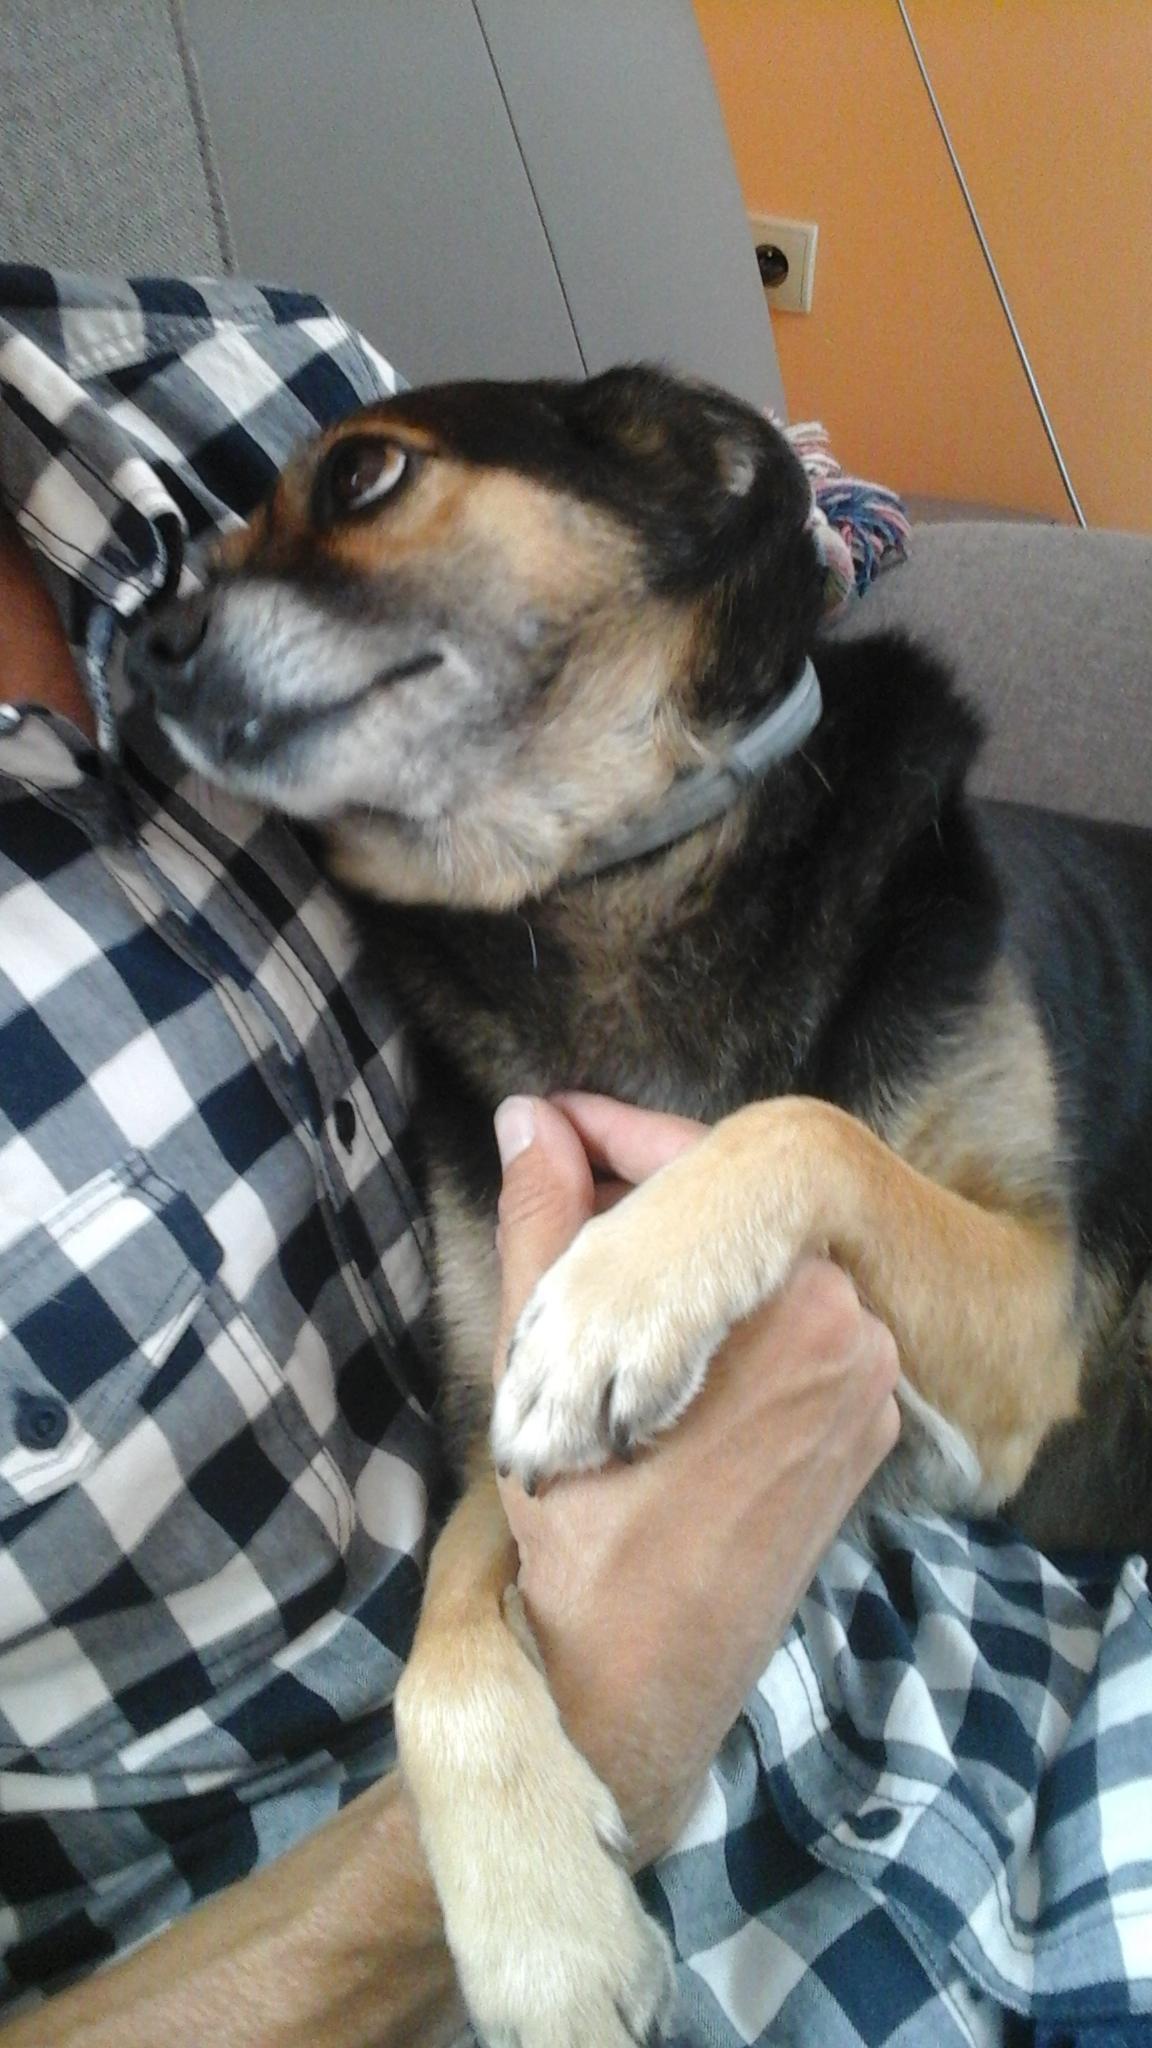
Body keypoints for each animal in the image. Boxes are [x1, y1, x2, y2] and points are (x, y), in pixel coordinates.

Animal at [129, 365, 1152, 2047]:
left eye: (361, 477)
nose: (138, 648)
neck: (594, 884)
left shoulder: (1028, 1331)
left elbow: (806, 1122)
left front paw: (621, 1296)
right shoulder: (494, 1429)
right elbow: (438, 1638)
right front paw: (540, 1929)